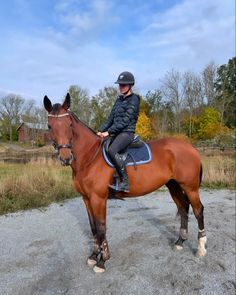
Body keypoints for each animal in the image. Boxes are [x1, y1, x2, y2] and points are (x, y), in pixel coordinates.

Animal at [44, 93, 206, 274]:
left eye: (70, 125)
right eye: (50, 126)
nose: (66, 158)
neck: (90, 157)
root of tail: (191, 148)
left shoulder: (98, 199)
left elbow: (101, 227)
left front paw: (102, 261)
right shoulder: (86, 198)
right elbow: (93, 227)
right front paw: (93, 256)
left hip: (190, 187)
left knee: (198, 210)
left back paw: (201, 248)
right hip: (174, 186)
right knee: (183, 208)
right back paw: (180, 242)